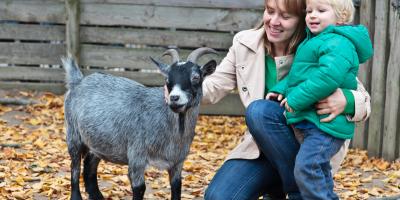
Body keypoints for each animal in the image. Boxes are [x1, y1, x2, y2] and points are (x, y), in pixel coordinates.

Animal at [62, 47, 217, 200]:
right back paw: (76, 196)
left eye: (196, 77)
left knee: (89, 165)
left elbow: (177, 186)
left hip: (99, 141)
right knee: (75, 167)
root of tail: (78, 81)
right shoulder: (137, 156)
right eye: (167, 79)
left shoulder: (177, 162)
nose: (174, 98)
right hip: (73, 133)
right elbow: (140, 188)